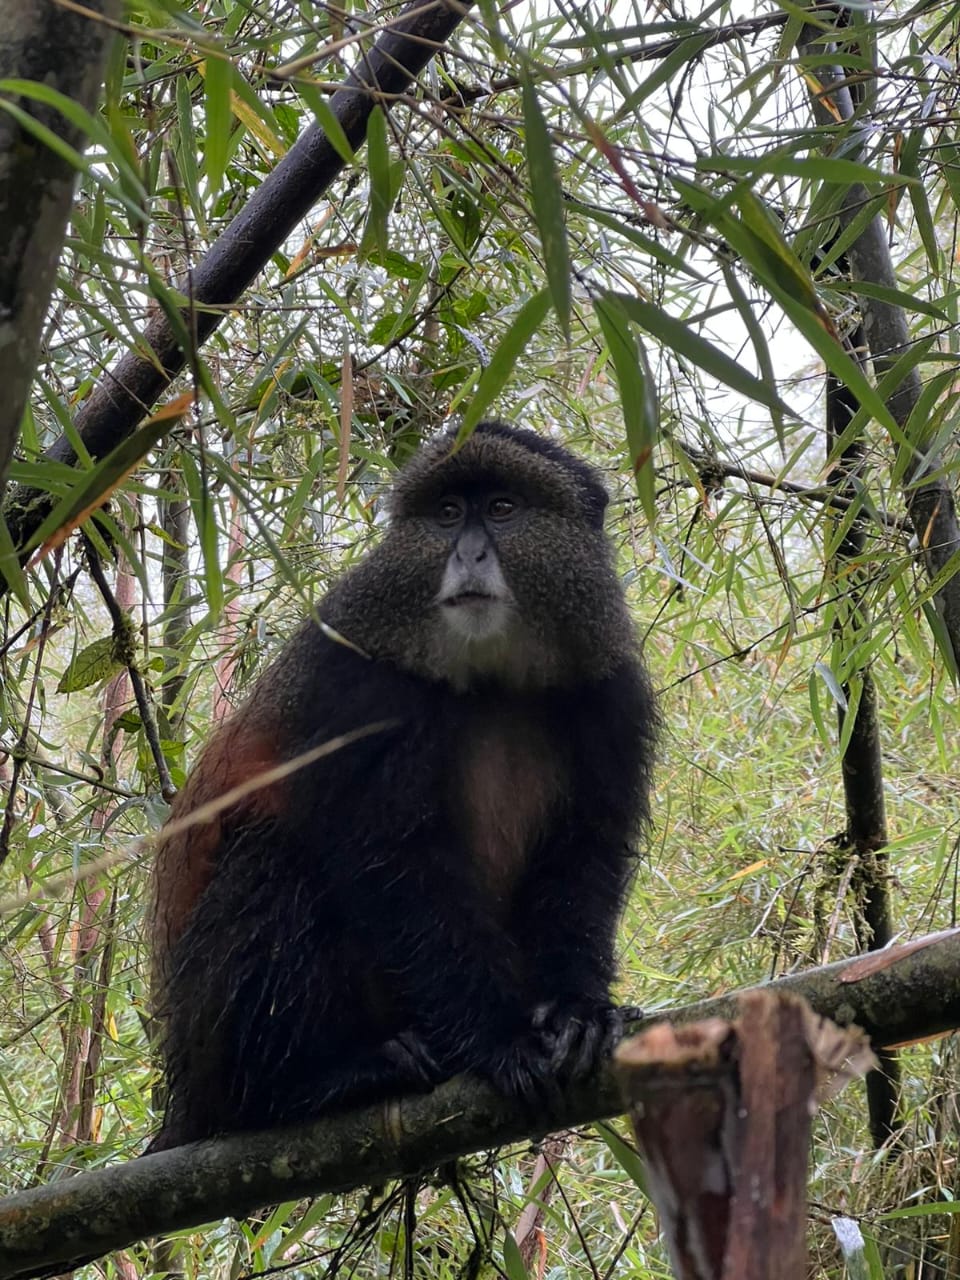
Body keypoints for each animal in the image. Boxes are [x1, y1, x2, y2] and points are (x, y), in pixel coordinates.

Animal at [148, 420, 657, 1149]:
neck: (492, 680)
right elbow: (392, 860)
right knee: (274, 858)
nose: (470, 553)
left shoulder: (612, 694)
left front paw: (579, 1013)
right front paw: (500, 1040)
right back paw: (303, 1085)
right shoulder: (360, 688)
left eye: (501, 508)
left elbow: (582, 856)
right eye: (446, 514)